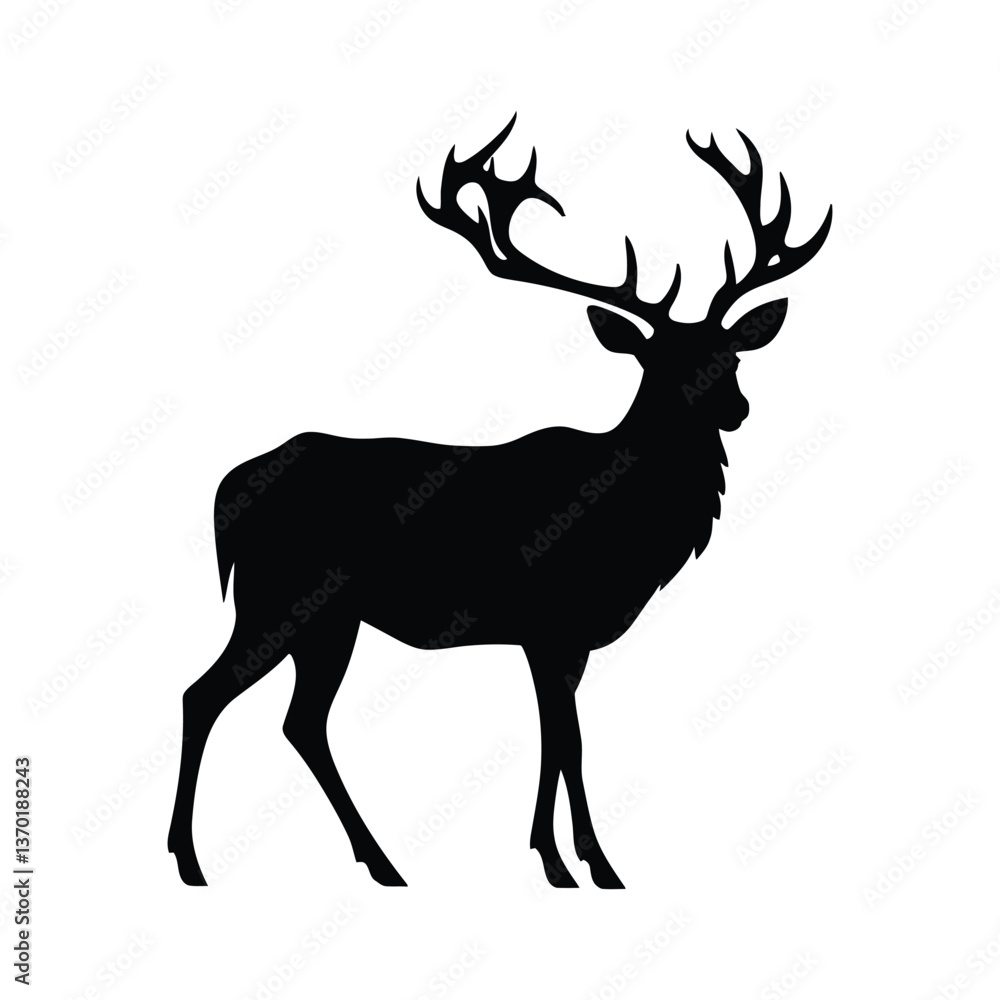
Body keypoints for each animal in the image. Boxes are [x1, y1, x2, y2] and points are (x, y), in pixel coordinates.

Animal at [168, 115, 831, 890]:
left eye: (731, 355)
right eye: (660, 362)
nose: (736, 408)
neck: (630, 526)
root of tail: (227, 491)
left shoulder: (564, 639)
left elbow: (556, 739)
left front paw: (559, 859)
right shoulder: (548, 621)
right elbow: (568, 741)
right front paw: (591, 865)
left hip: (327, 619)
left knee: (299, 721)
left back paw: (382, 863)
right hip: (277, 595)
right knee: (205, 695)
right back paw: (192, 862)